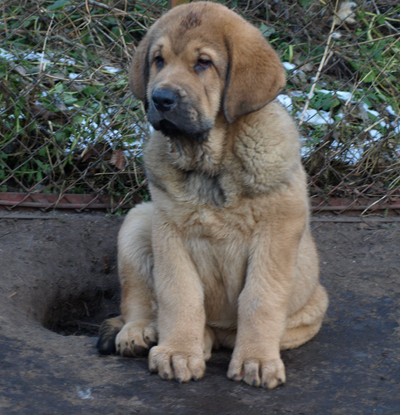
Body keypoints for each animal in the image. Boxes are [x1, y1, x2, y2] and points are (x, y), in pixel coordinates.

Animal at [97, 1, 328, 390]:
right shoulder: (169, 231)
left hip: (313, 306)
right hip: (138, 220)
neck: (211, 164)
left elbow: (259, 298)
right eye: (158, 60)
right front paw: (177, 351)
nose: (160, 98)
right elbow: (179, 294)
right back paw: (143, 332)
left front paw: (257, 360)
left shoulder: (277, 232)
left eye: (203, 63)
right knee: (139, 297)